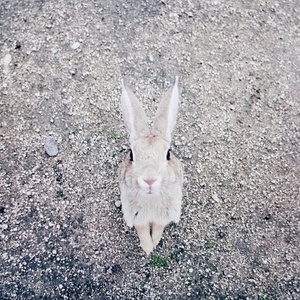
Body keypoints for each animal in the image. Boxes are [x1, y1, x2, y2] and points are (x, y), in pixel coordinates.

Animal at [118, 76, 184, 254]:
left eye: (168, 153)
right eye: (131, 154)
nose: (149, 180)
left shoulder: (164, 217)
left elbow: (158, 228)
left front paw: (154, 243)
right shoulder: (136, 217)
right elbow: (142, 231)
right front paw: (148, 248)